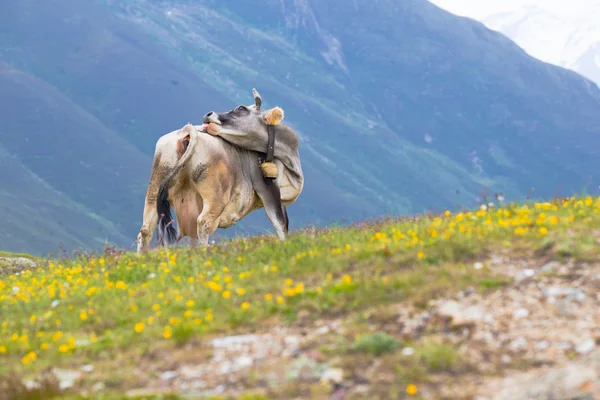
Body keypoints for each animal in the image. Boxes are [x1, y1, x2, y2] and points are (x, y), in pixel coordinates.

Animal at [137, 90, 304, 253]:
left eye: (241, 108)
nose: (208, 114)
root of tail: (187, 130)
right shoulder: (267, 186)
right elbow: (280, 223)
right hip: (216, 195)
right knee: (203, 222)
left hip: (156, 185)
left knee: (146, 229)